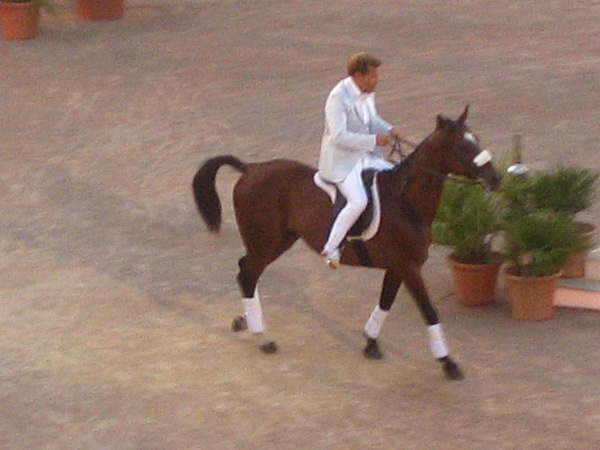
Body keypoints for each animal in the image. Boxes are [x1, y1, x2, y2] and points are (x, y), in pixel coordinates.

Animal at [193, 106, 502, 380]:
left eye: (477, 139)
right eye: (462, 147)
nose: (496, 179)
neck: (405, 201)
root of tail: (250, 168)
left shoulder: (397, 267)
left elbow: (385, 302)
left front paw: (370, 343)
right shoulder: (409, 266)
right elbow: (429, 311)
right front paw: (448, 363)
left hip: (279, 241)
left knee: (246, 271)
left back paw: (245, 320)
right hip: (266, 242)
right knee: (248, 273)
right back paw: (263, 337)